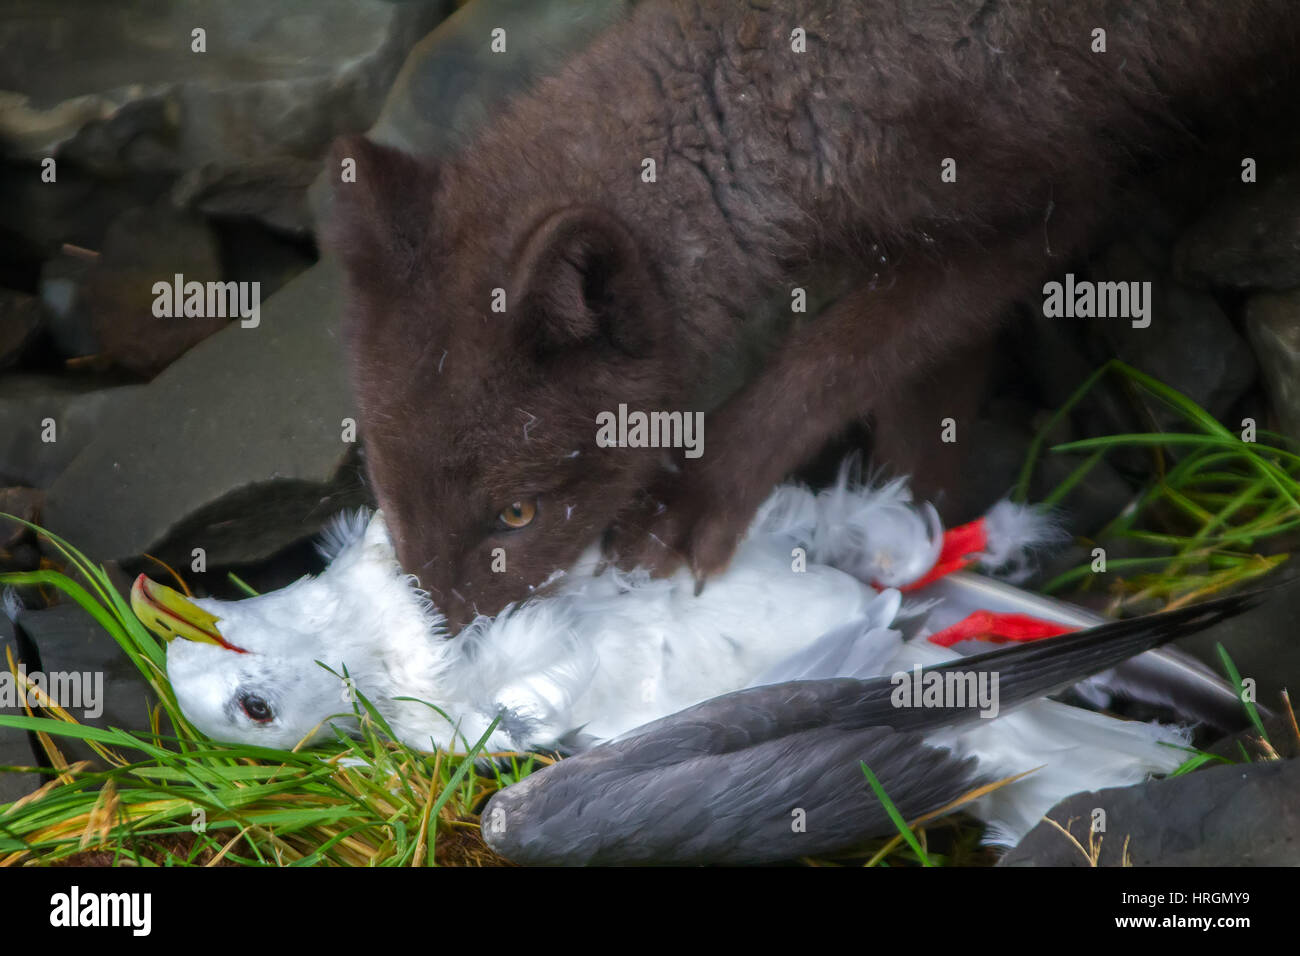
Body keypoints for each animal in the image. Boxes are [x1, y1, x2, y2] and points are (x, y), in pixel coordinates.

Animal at [327, 0, 1300, 632]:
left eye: (518, 515)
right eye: (384, 487)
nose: (453, 643)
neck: (784, 86)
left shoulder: (1038, 210)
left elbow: (829, 362)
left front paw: (690, 508)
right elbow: (924, 420)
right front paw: (911, 540)